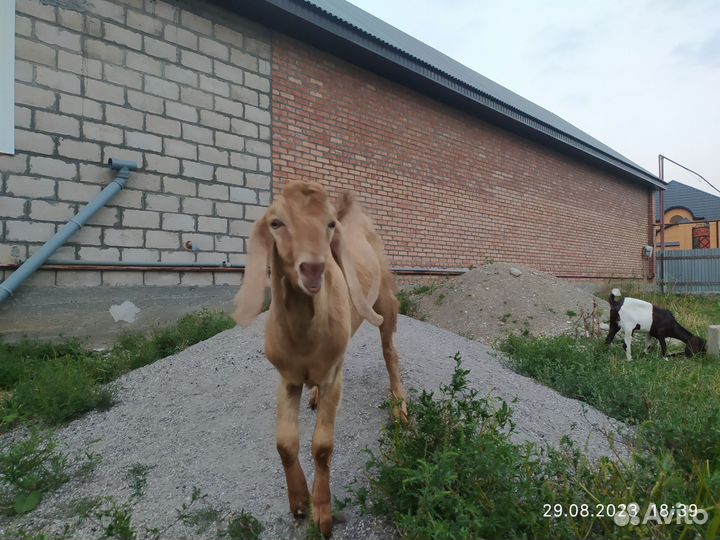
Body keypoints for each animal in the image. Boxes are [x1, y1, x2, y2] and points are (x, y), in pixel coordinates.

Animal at [232, 180, 406, 537]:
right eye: (276, 223)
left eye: (329, 225)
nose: (313, 269)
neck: (303, 338)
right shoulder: (286, 379)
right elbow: (285, 443)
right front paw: (299, 502)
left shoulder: (331, 378)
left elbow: (322, 446)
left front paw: (322, 513)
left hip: (384, 298)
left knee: (389, 351)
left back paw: (399, 405)